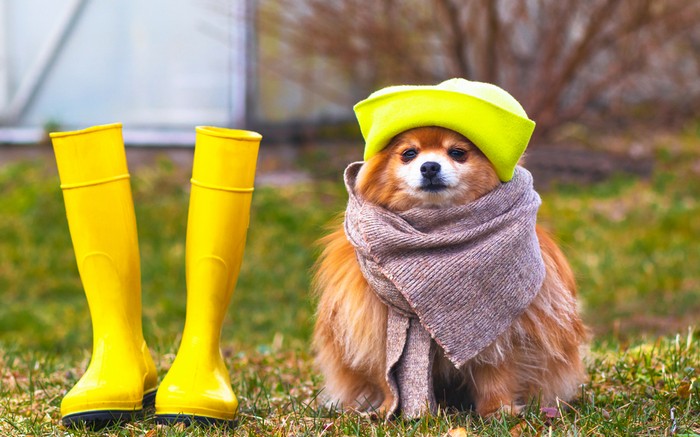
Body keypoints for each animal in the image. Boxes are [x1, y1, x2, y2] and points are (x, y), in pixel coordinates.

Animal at [312, 125, 592, 416]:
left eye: (457, 152)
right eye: (409, 153)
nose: (430, 167)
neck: (435, 232)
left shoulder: (504, 329)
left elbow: (496, 372)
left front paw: (498, 409)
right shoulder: (373, 325)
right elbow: (385, 374)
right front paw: (386, 409)